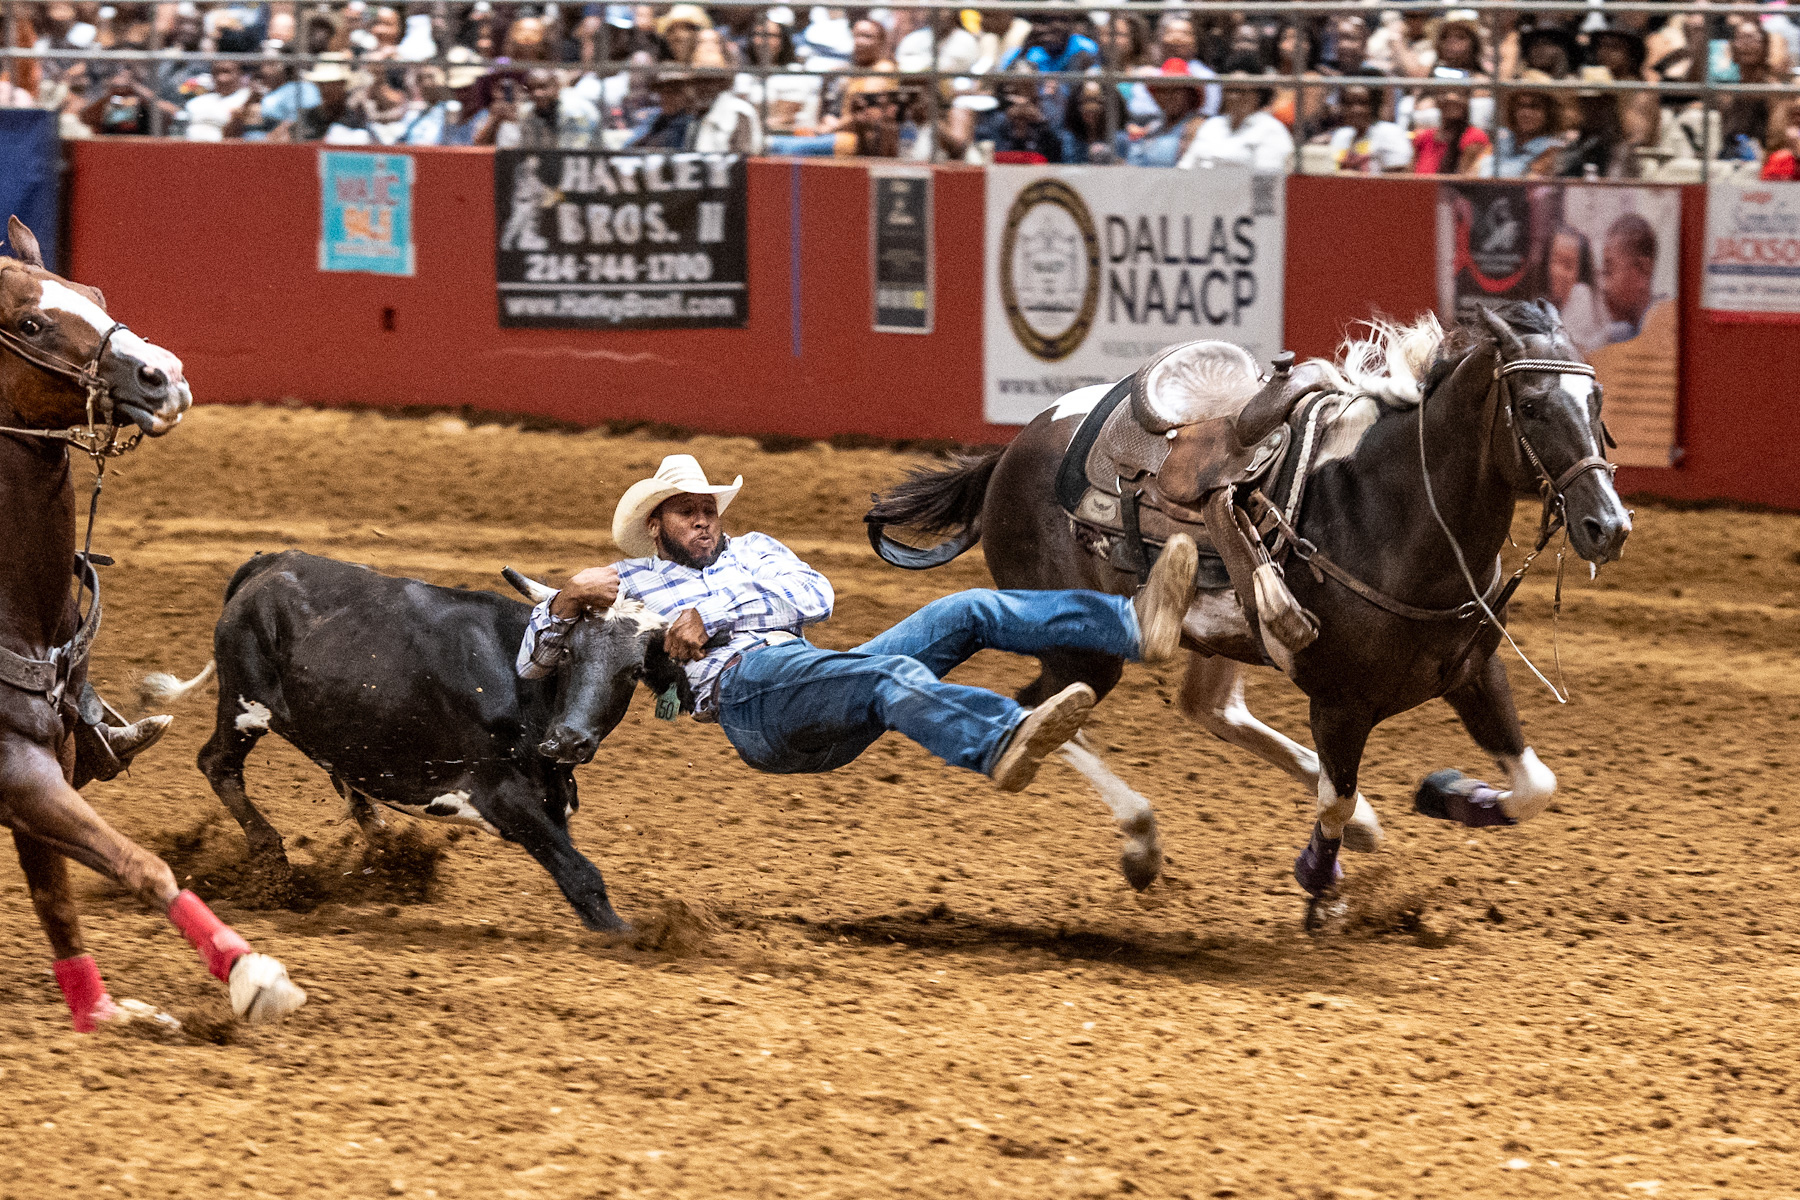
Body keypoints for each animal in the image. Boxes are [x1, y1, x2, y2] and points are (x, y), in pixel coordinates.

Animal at [0, 215, 306, 1036]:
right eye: (30, 323)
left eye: (94, 293)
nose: (163, 375)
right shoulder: (18, 772)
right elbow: (143, 865)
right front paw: (252, 973)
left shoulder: (44, 764)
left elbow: (56, 901)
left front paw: (101, 1012)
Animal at [871, 305, 1634, 928]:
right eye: (1530, 406)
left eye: (1596, 399)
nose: (1607, 525)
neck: (1396, 511)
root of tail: (1010, 451)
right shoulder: (1340, 702)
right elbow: (1331, 798)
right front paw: (1319, 882)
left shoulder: (1472, 671)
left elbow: (1535, 786)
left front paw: (1447, 793)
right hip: (1082, 646)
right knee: (1049, 706)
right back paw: (1141, 839)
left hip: (1212, 635)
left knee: (1204, 709)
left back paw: (1359, 822)